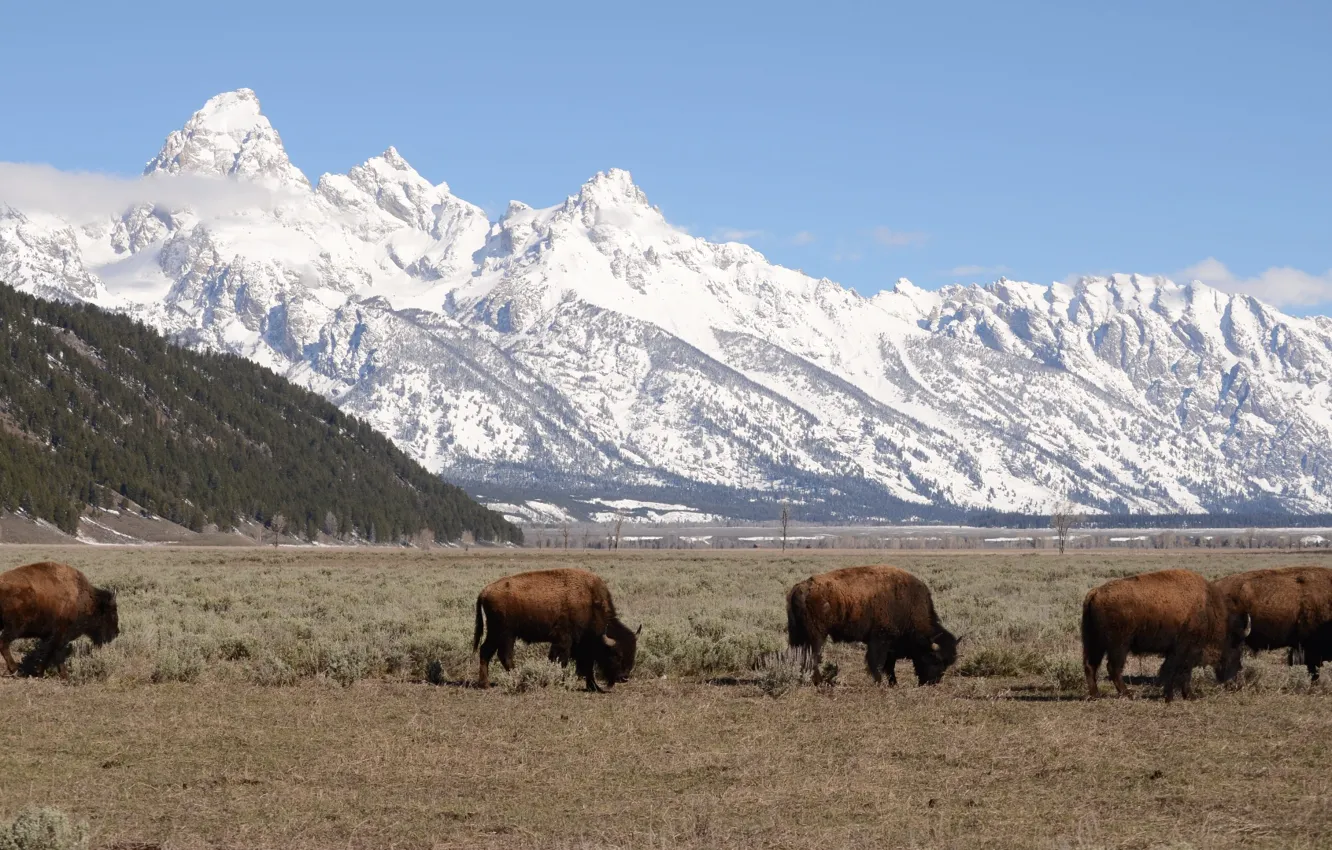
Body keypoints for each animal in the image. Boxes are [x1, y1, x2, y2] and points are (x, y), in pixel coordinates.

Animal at [474, 570, 639, 698]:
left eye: (633, 652)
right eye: (616, 654)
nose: (624, 677)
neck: (591, 603)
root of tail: (485, 591)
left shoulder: (583, 646)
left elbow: (587, 666)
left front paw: (594, 687)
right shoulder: (563, 641)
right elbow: (561, 661)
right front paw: (559, 682)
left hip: (495, 633)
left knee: (485, 651)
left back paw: (485, 684)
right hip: (506, 634)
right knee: (505, 655)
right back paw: (516, 678)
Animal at [777, 564, 959, 692]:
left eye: (948, 663)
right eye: (935, 658)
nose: (932, 682)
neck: (909, 604)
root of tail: (801, 588)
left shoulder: (891, 645)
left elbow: (889, 666)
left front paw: (893, 683)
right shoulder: (880, 640)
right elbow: (877, 663)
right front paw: (879, 683)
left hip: (797, 634)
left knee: (799, 655)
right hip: (816, 636)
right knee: (813, 657)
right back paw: (819, 682)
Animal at [1081, 570, 1246, 703]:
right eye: (1235, 652)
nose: (1235, 684)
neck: (1208, 610)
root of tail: (1095, 593)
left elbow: (1173, 671)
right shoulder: (1186, 650)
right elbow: (1180, 671)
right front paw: (1182, 696)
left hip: (1095, 643)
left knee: (1091, 665)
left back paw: (1096, 695)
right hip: (1119, 645)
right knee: (1113, 667)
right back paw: (1128, 694)